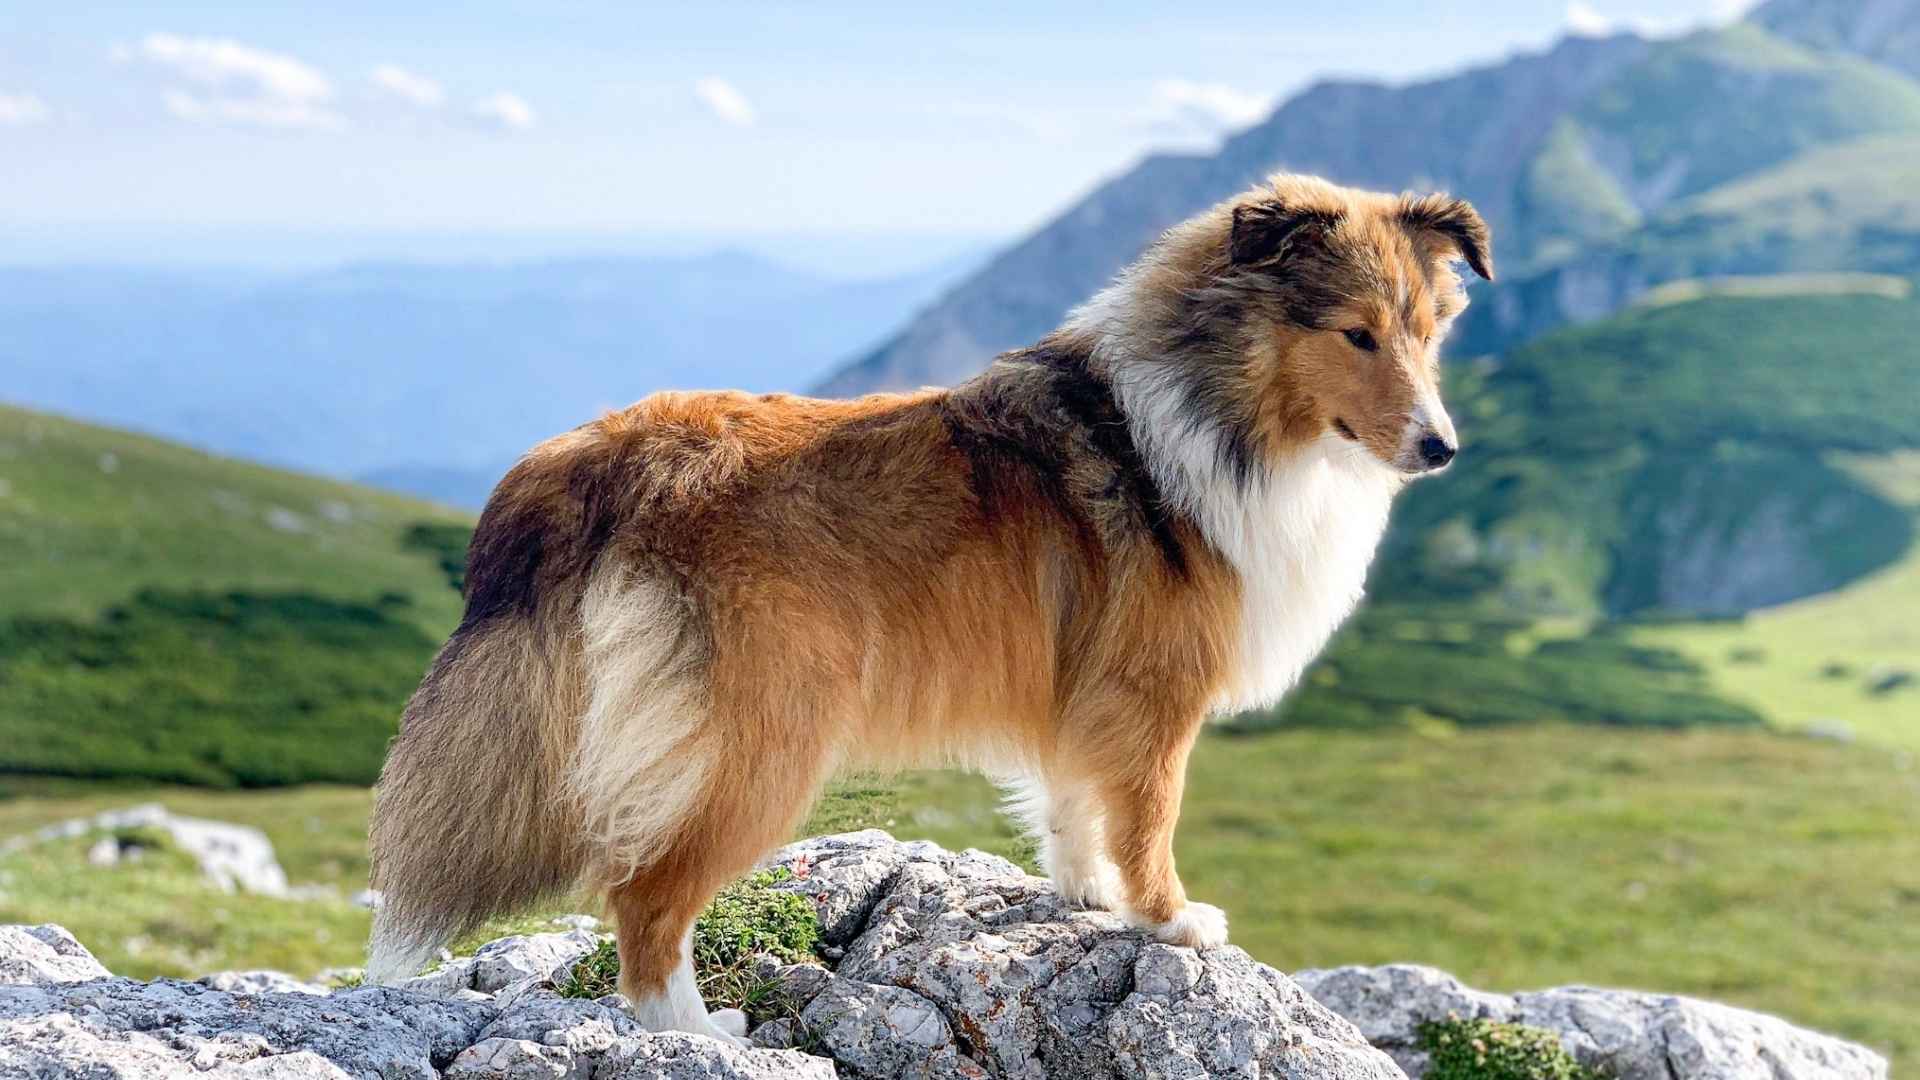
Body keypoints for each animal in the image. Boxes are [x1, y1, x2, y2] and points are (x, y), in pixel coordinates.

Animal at [366, 171, 1489, 1037]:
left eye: (1429, 331)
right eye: (1355, 333)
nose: (1443, 449)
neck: (1214, 408)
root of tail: (608, 452)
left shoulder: (1087, 689)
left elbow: (1073, 800)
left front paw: (1084, 895)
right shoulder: (1156, 695)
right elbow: (1150, 818)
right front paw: (1170, 920)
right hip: (763, 742)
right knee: (643, 898)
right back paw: (697, 1034)